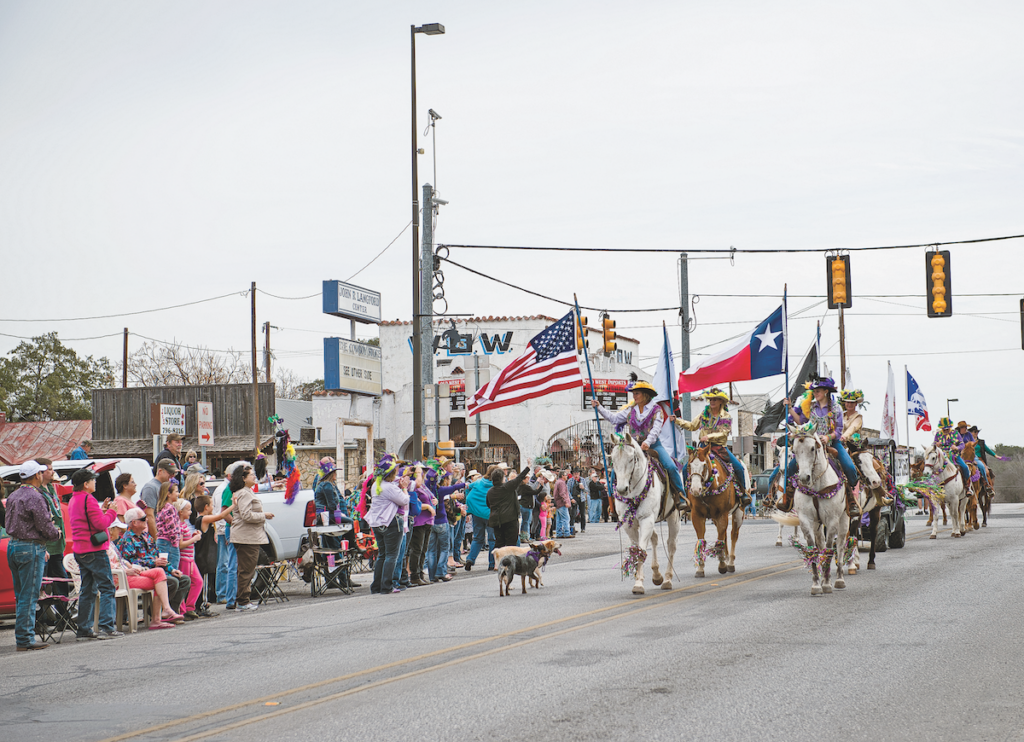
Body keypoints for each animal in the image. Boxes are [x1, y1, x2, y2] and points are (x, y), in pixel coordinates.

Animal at [606, 431, 679, 593]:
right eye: (613, 460)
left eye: (631, 459)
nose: (621, 489)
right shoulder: (629, 523)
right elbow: (636, 550)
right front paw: (639, 580)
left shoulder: (647, 519)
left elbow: (640, 550)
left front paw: (638, 584)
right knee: (655, 538)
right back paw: (657, 575)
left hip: (674, 516)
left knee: (671, 545)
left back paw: (667, 579)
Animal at [688, 446, 745, 577]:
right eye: (689, 465)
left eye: (704, 465)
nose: (695, 489)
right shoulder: (697, 515)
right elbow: (701, 539)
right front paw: (700, 568)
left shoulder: (722, 514)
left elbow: (720, 539)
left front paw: (722, 565)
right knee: (724, 535)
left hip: (739, 512)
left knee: (733, 534)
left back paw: (730, 563)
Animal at [786, 427, 851, 597]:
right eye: (794, 450)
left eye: (812, 448)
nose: (804, 478)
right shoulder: (805, 520)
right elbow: (813, 549)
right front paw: (816, 584)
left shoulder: (832, 520)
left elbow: (829, 549)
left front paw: (827, 583)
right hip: (817, 524)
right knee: (820, 543)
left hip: (844, 519)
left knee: (840, 546)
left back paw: (839, 579)